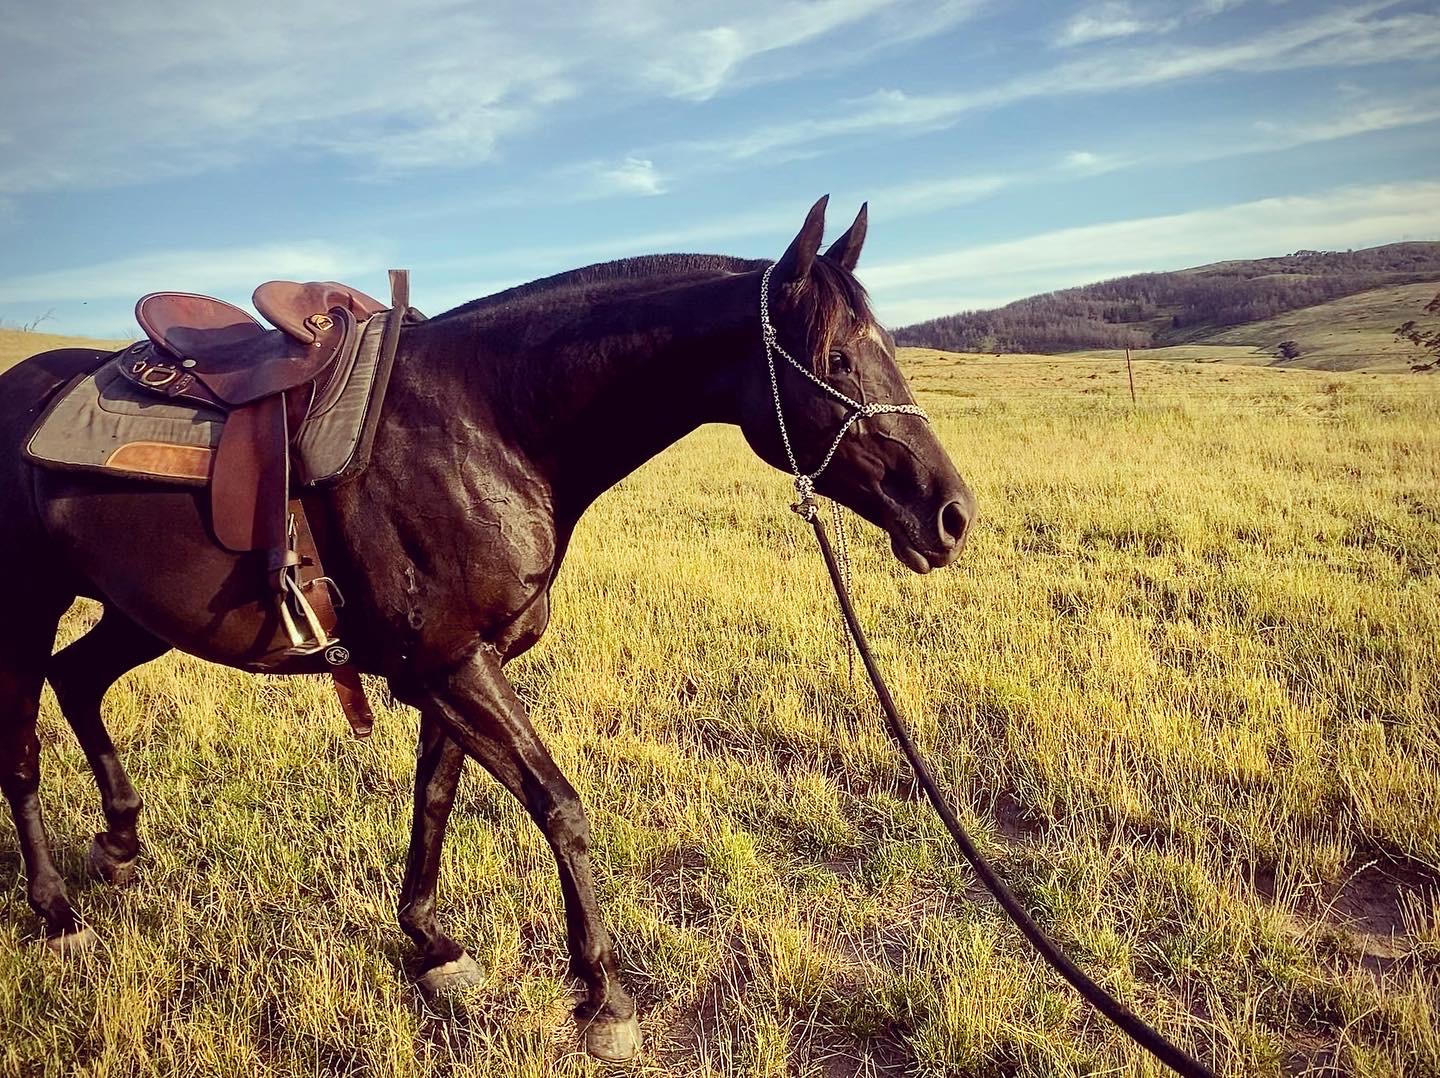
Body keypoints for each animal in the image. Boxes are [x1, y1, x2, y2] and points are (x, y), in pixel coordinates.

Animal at [0, 197, 974, 1061]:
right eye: (838, 357)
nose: (952, 515)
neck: (488, 424)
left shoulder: (457, 666)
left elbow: (434, 800)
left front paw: (432, 947)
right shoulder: (453, 665)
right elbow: (560, 806)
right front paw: (603, 998)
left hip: (138, 610)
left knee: (77, 680)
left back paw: (120, 844)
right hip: (27, 607)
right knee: (21, 749)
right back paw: (56, 915)